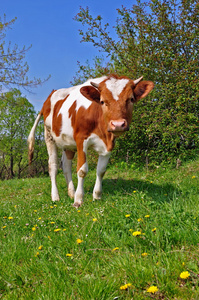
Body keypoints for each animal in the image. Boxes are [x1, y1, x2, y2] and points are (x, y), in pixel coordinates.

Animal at [27, 74, 154, 207]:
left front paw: (96, 196)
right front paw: (78, 200)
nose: (118, 124)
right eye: (102, 101)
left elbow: (101, 170)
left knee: (66, 166)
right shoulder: (81, 140)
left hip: (68, 143)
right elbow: (82, 170)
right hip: (49, 136)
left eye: (131, 99)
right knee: (53, 167)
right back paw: (55, 196)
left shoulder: (109, 144)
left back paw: (71, 193)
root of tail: (50, 96)